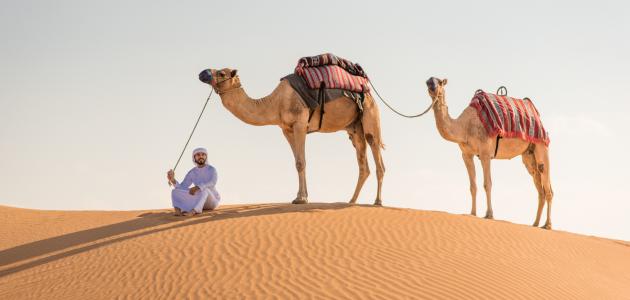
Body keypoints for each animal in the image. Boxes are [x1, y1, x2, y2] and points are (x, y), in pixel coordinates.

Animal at [199, 67, 386, 205]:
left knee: (377, 155)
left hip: (370, 115)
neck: (276, 103)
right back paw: (352, 201)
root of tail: (369, 93)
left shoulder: (300, 124)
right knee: (363, 164)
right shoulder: (286, 129)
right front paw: (300, 196)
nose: (202, 73)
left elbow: (301, 162)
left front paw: (301, 199)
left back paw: (377, 201)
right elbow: (297, 163)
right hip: (354, 129)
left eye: (221, 73)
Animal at [428, 77, 556, 230]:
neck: (464, 126)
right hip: (528, 154)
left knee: (547, 185)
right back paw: (535, 224)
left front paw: (489, 214)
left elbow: (487, 184)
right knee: (538, 183)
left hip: (541, 145)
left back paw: (547, 225)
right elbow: (473, 186)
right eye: (428, 81)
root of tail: (536, 114)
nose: (432, 86)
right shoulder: (466, 154)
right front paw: (472, 213)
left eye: (440, 82)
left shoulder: (485, 153)